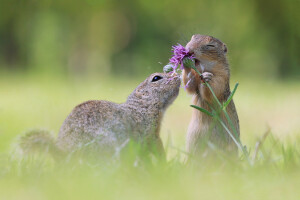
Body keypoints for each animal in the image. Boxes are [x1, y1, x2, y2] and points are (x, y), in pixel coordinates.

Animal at [21, 73, 182, 161]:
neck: (141, 107)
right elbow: (153, 147)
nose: (177, 76)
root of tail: (63, 155)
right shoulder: (148, 133)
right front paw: (162, 161)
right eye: (156, 78)